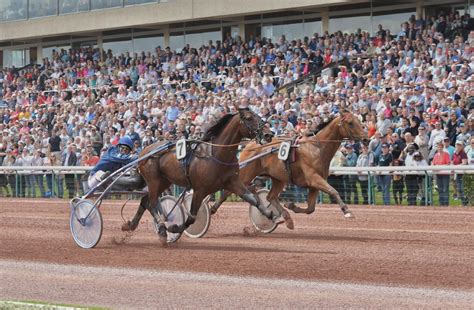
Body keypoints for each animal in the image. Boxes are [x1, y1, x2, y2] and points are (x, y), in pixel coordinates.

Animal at [123, 108, 278, 243]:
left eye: (259, 116)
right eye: (249, 118)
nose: (268, 134)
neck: (216, 154)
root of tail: (144, 151)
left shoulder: (233, 182)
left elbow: (253, 199)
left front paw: (271, 215)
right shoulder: (199, 189)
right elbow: (192, 217)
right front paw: (174, 228)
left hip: (164, 181)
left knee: (146, 201)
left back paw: (131, 225)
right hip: (153, 180)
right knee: (153, 202)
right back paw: (162, 230)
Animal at [210, 110, 366, 224]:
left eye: (360, 122)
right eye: (351, 123)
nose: (365, 138)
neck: (317, 147)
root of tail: (250, 144)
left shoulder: (314, 184)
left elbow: (311, 208)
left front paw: (291, 206)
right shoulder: (314, 178)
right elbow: (334, 191)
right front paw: (347, 211)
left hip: (279, 178)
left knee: (270, 197)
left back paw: (285, 217)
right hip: (245, 174)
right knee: (228, 191)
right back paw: (212, 209)